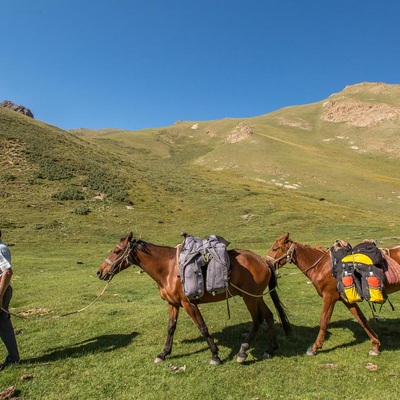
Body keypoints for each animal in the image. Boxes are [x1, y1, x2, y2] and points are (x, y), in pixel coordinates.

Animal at [97, 231, 290, 366]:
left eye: (116, 251)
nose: (100, 272)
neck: (168, 268)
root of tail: (264, 261)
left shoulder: (188, 303)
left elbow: (203, 328)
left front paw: (215, 355)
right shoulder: (173, 303)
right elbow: (171, 328)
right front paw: (163, 354)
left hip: (249, 298)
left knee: (257, 320)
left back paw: (242, 352)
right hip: (255, 297)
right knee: (269, 316)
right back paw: (270, 349)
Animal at [268, 234, 400, 356]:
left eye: (275, 249)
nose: (267, 263)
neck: (321, 267)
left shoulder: (329, 297)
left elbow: (324, 321)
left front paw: (315, 348)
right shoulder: (347, 300)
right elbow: (361, 319)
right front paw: (375, 345)